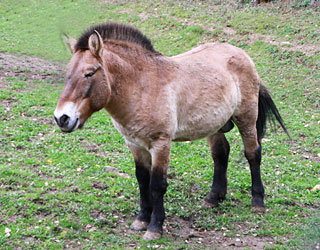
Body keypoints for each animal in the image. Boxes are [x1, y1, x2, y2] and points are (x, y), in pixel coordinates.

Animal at [53, 23, 288, 240]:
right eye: (68, 74)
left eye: (89, 73)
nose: (62, 118)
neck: (142, 85)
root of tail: (241, 53)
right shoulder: (135, 144)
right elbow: (142, 180)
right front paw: (141, 219)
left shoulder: (161, 144)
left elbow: (157, 184)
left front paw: (155, 227)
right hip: (214, 125)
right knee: (221, 154)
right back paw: (213, 198)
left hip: (246, 118)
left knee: (253, 153)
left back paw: (257, 201)